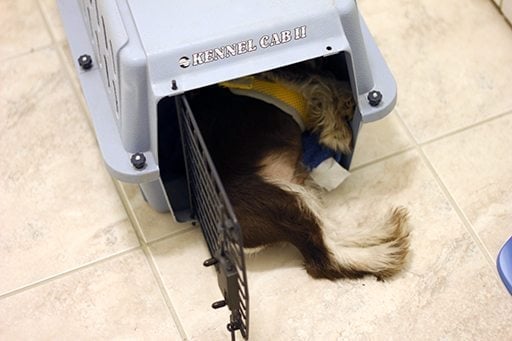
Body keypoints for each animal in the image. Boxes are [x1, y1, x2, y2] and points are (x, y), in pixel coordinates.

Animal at [186, 62, 410, 280]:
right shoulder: (305, 87)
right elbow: (325, 87)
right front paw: (338, 132)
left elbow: (327, 83)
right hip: (278, 202)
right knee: (322, 257)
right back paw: (384, 255)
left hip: (296, 193)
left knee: (328, 230)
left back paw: (382, 230)